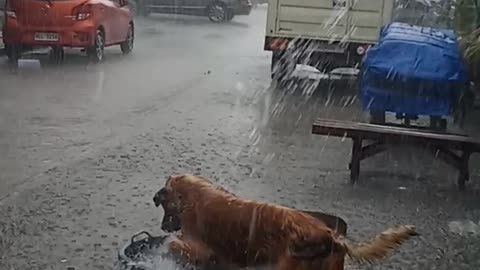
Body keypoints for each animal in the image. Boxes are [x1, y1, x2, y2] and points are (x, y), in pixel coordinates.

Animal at [153, 175, 416, 270]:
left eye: (164, 207)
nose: (163, 227)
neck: (190, 195)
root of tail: (330, 236)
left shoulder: (200, 247)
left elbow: (173, 244)